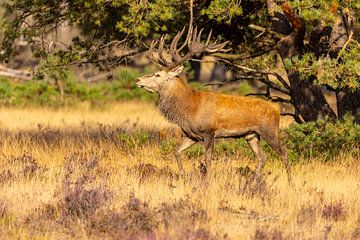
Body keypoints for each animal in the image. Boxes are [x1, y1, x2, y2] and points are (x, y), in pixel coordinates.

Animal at [136, 24, 292, 183]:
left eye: (157, 75)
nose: (138, 80)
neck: (190, 109)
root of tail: (276, 108)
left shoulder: (209, 131)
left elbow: (208, 159)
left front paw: (207, 181)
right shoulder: (191, 135)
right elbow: (176, 152)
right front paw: (182, 175)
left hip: (270, 131)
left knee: (285, 154)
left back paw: (289, 183)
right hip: (252, 135)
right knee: (262, 157)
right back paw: (252, 181)